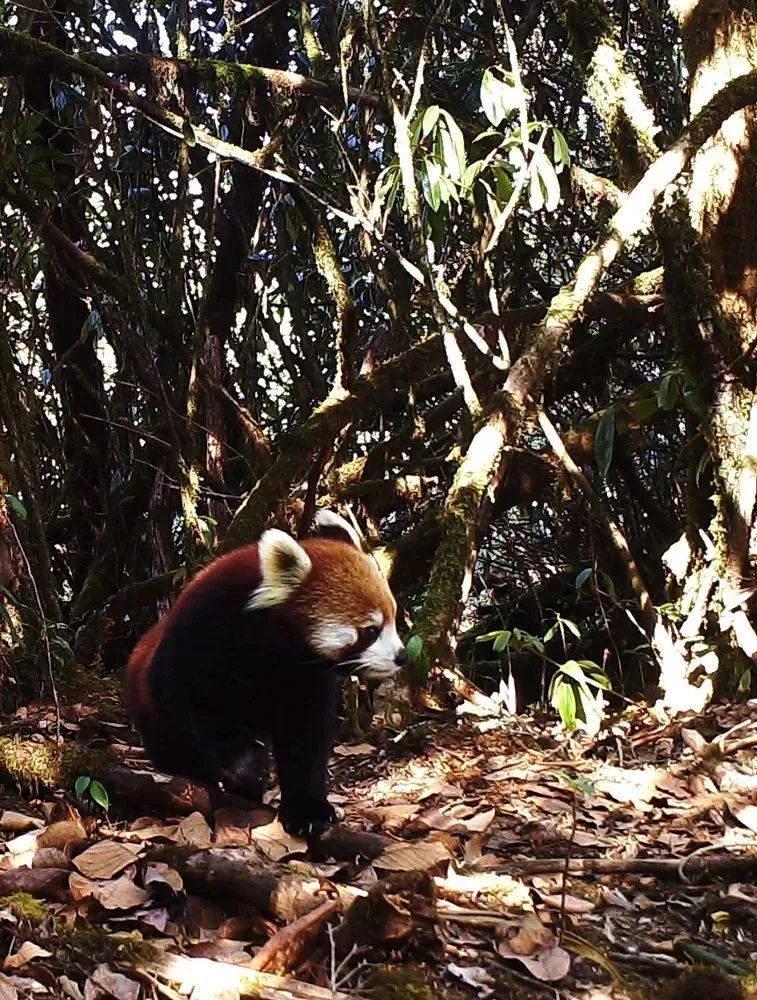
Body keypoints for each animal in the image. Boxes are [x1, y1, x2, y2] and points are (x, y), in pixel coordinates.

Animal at [126, 516, 404, 836]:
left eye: (394, 619)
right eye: (371, 630)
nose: (402, 656)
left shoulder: (307, 682)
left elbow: (305, 743)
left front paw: (308, 810)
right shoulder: (199, 644)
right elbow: (207, 714)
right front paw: (244, 769)